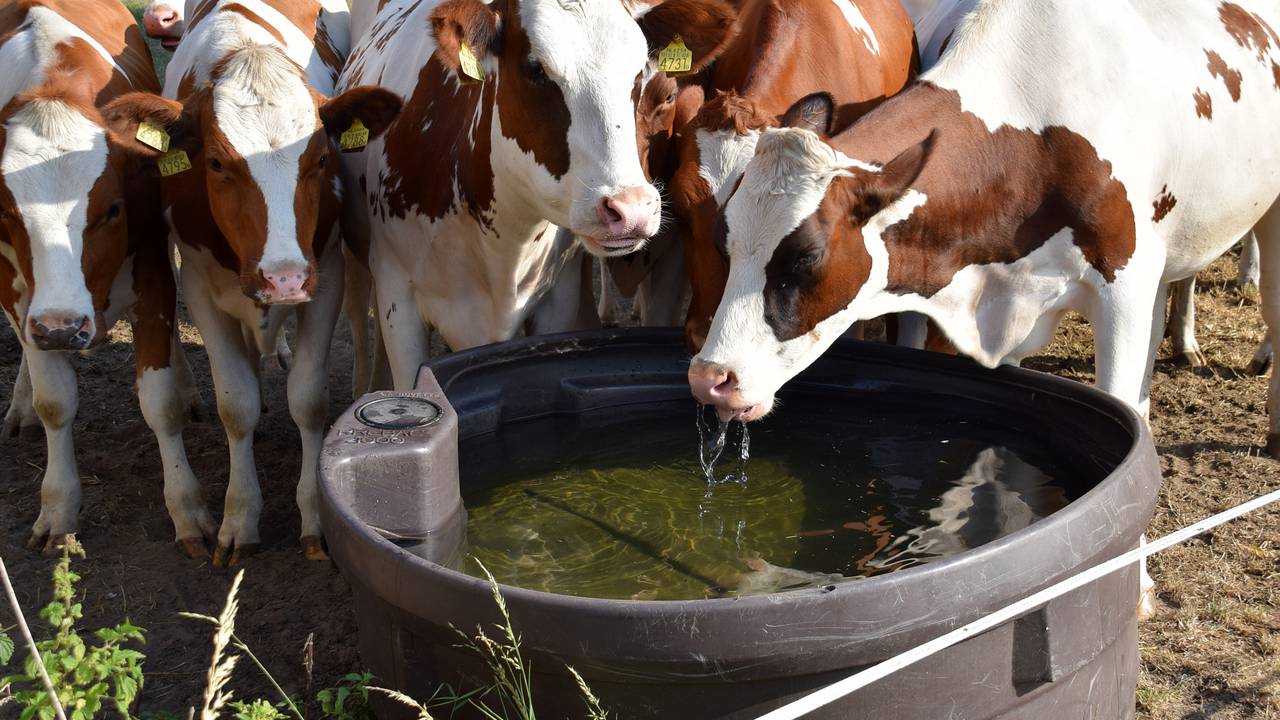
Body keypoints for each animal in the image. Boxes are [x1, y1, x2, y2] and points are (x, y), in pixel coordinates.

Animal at [0, 0, 210, 553]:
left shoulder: (153, 272)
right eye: (6, 212)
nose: (62, 329)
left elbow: (159, 403)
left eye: (112, 209)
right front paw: (58, 509)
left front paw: (188, 508)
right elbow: (55, 402)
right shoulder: (16, 293)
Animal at [104, 0, 401, 565]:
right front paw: (239, 519)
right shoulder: (200, 286)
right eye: (217, 162)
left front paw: (314, 518)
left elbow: (307, 398)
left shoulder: (323, 275)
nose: (283, 278)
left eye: (320, 158)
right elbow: (234, 404)